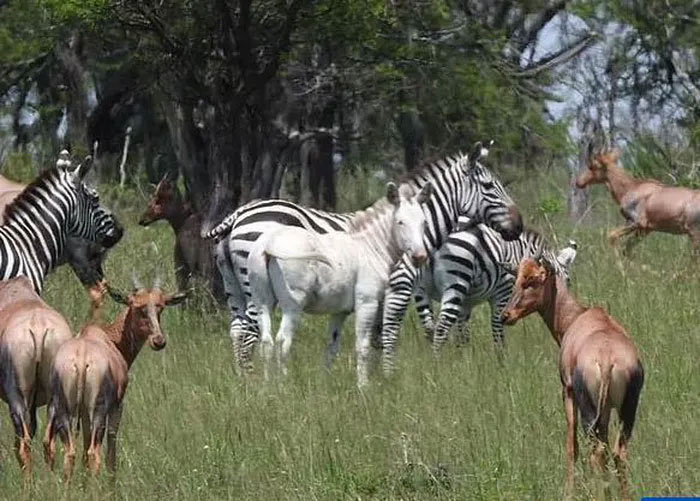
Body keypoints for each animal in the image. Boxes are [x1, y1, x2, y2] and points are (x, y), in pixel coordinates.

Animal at [204, 142, 523, 372]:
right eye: (489, 186)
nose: (519, 226)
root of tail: (237, 214)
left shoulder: (381, 293)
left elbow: (378, 338)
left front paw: (378, 380)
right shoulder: (399, 286)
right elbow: (390, 334)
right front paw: (389, 379)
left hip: (234, 286)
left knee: (237, 331)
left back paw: (245, 384)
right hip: (256, 287)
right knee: (249, 334)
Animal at [414, 224, 578, 351]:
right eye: (568, 280)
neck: (520, 253)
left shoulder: (466, 302)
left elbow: (462, 335)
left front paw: (464, 362)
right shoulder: (503, 291)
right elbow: (497, 329)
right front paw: (501, 364)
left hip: (421, 289)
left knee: (429, 328)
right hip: (455, 282)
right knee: (441, 328)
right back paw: (439, 365)